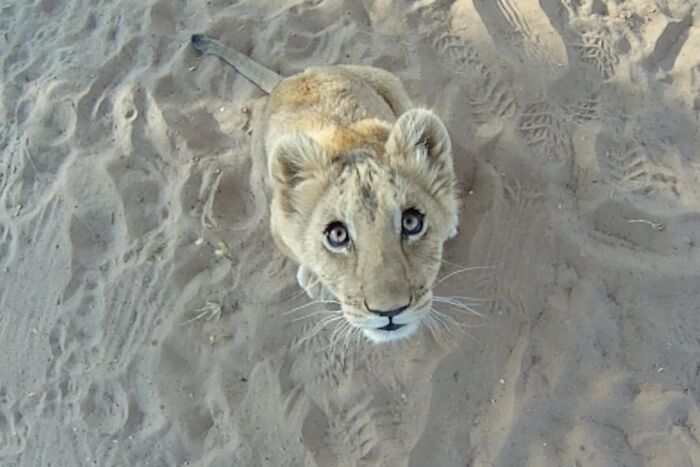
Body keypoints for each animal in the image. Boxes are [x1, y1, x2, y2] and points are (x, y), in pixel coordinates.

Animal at [192, 34, 460, 343]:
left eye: (412, 222)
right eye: (338, 235)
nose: (389, 311)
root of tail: (288, 79)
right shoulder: (278, 224)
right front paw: (314, 278)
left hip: (388, 81)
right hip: (260, 168)